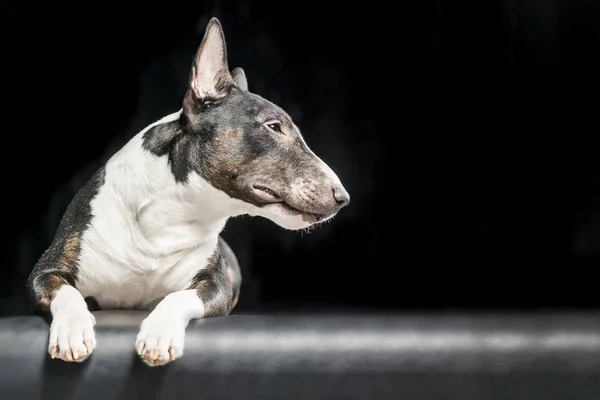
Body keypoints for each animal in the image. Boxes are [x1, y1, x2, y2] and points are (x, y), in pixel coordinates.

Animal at [25, 19, 350, 368]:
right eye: (274, 127)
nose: (343, 197)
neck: (172, 216)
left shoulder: (216, 285)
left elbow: (179, 296)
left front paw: (159, 334)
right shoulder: (43, 272)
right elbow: (66, 292)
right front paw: (72, 331)